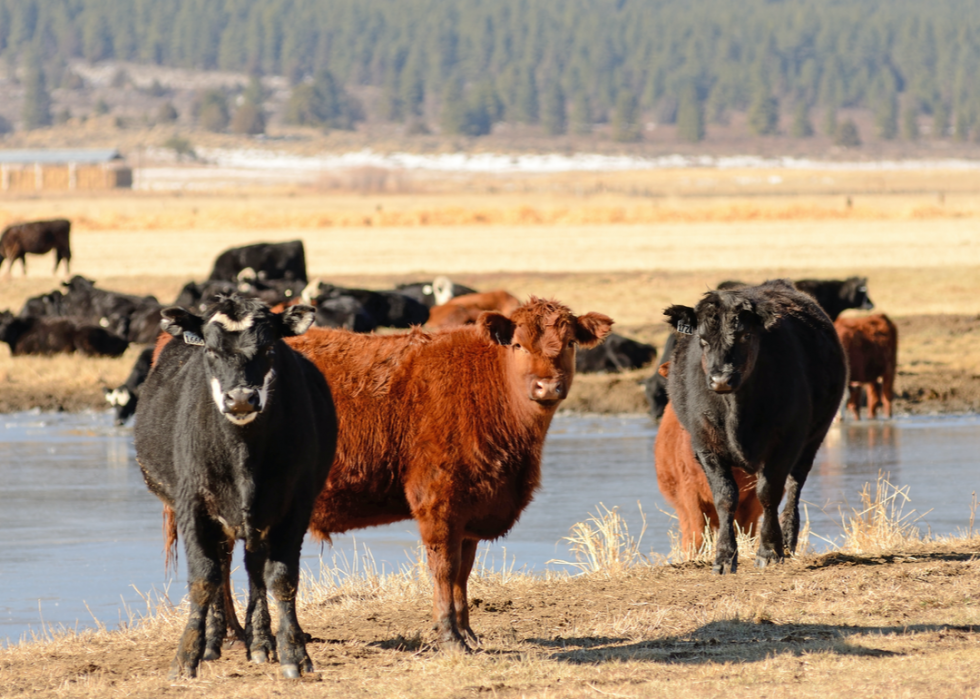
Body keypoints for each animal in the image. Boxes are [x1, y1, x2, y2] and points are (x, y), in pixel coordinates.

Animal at [133, 294, 336, 680]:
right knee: (222, 567)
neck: (244, 455)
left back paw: (259, 641)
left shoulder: (295, 505)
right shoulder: (192, 505)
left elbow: (282, 577)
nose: (241, 398)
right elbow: (203, 577)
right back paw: (215, 641)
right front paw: (186, 657)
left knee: (253, 568)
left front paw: (293, 654)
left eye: (269, 347)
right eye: (211, 350)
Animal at [282, 296, 612, 652]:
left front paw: (468, 632)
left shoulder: (471, 510)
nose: (547, 386)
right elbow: (444, 569)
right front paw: (450, 636)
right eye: (518, 345)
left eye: (570, 343)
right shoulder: (437, 501)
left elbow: (462, 574)